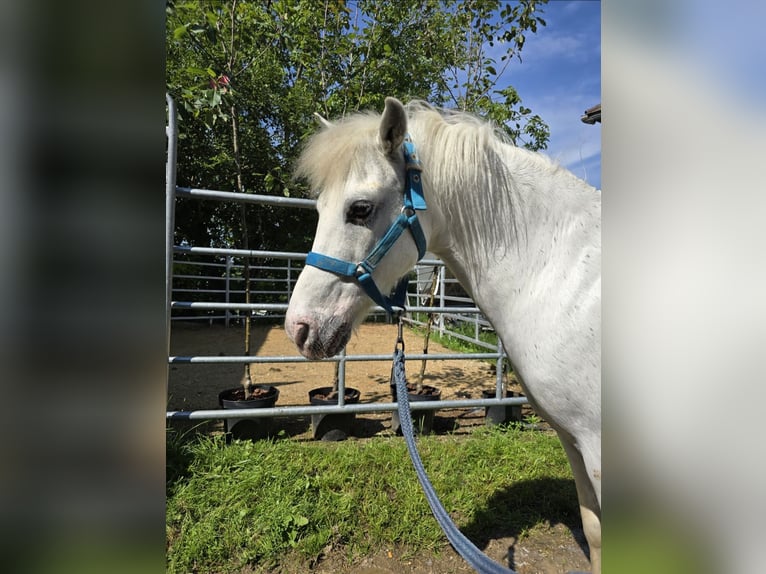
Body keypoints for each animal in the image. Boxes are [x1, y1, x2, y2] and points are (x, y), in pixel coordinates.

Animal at [284, 97, 604, 572]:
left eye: (359, 209)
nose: (298, 328)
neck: (563, 275)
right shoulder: (574, 439)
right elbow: (594, 532)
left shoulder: (598, 446)